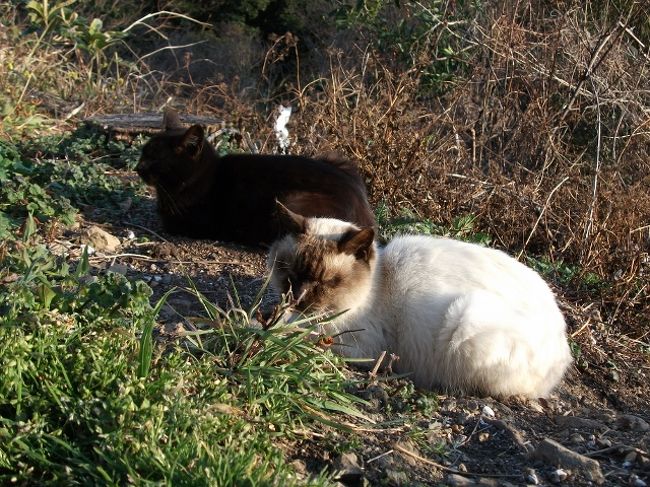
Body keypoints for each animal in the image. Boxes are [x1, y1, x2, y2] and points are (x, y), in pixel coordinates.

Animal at [266, 206, 568, 400]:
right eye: (290, 273)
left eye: (327, 282)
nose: (298, 298)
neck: (377, 283)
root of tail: (563, 346)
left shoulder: (354, 341)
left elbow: (300, 331)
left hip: (465, 319)